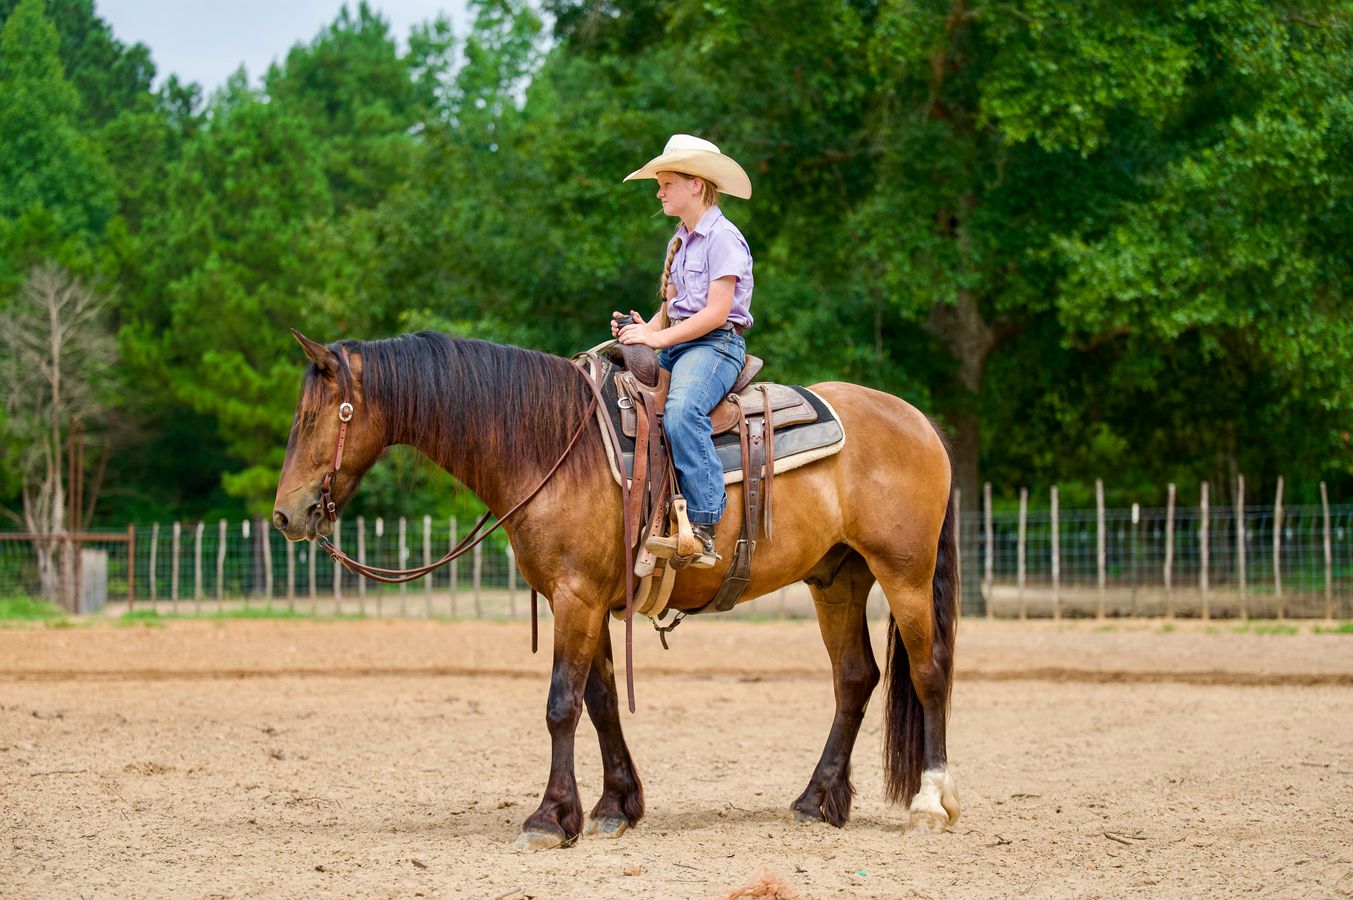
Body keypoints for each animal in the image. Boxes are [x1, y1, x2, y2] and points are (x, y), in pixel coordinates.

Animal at [271, 329, 960, 851]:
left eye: (312, 417)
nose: (285, 515)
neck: (551, 446)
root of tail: (920, 422)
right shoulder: (589, 601)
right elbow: (600, 702)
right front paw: (614, 806)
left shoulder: (575, 597)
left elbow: (560, 705)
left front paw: (549, 818)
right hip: (837, 578)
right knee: (855, 679)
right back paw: (817, 801)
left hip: (903, 575)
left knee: (927, 671)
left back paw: (931, 802)